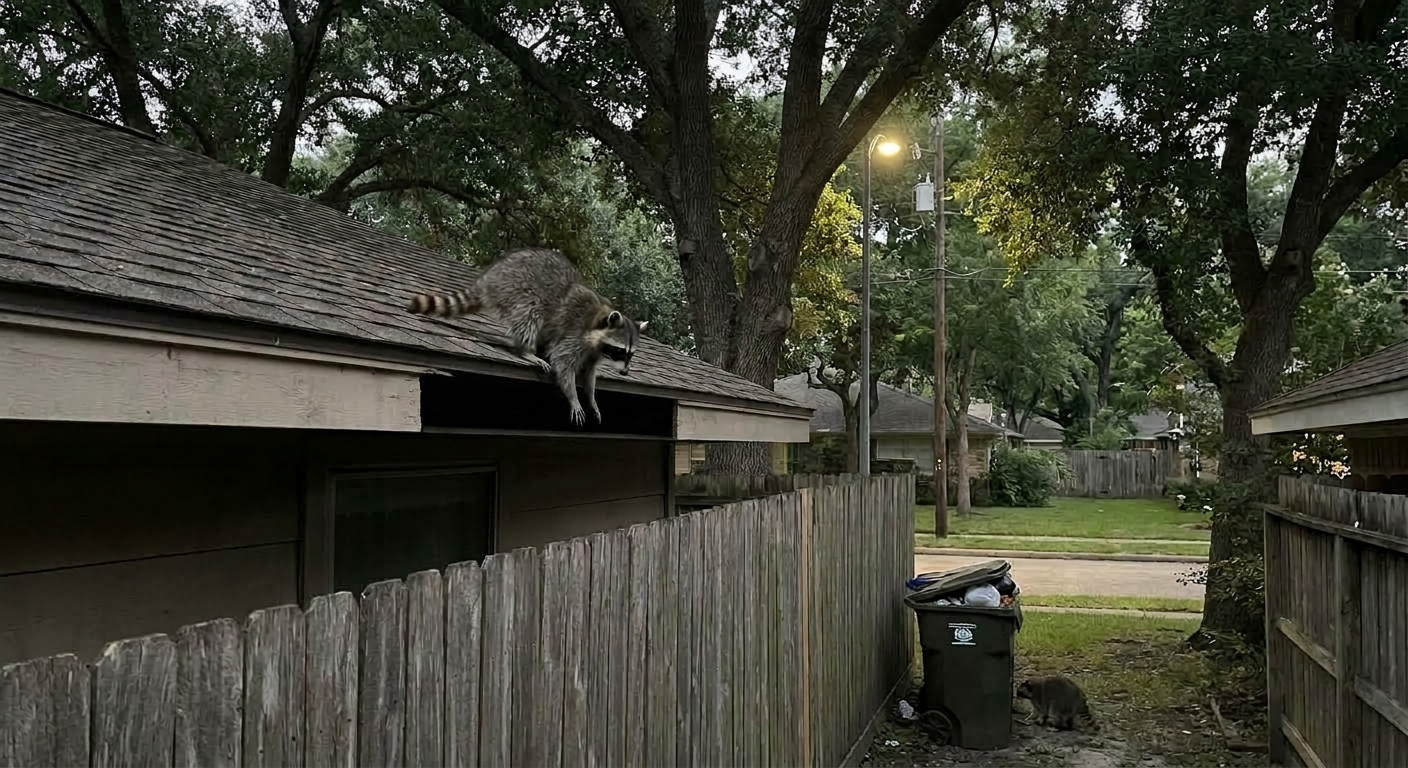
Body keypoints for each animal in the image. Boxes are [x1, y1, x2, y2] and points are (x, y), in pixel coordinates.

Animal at [407, 247, 648, 426]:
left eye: (630, 354)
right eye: (620, 351)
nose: (625, 372)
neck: (598, 322)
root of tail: (491, 275)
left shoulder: (594, 351)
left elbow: (589, 374)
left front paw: (591, 398)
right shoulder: (575, 334)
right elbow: (562, 362)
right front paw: (573, 397)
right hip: (517, 287)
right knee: (531, 312)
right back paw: (526, 350)